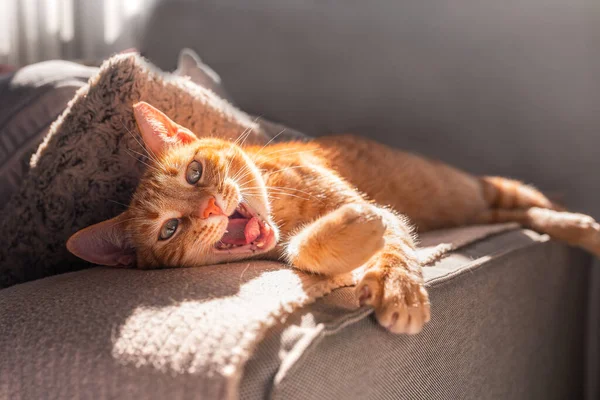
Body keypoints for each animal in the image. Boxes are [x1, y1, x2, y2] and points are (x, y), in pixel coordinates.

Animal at [65, 102, 600, 334]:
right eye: (169, 228)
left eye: (194, 171)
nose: (213, 208)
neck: (280, 207)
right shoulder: (288, 247)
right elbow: (307, 250)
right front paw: (353, 232)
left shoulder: (376, 209)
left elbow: (394, 243)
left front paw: (400, 290)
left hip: (488, 187)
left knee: (535, 206)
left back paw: (581, 226)